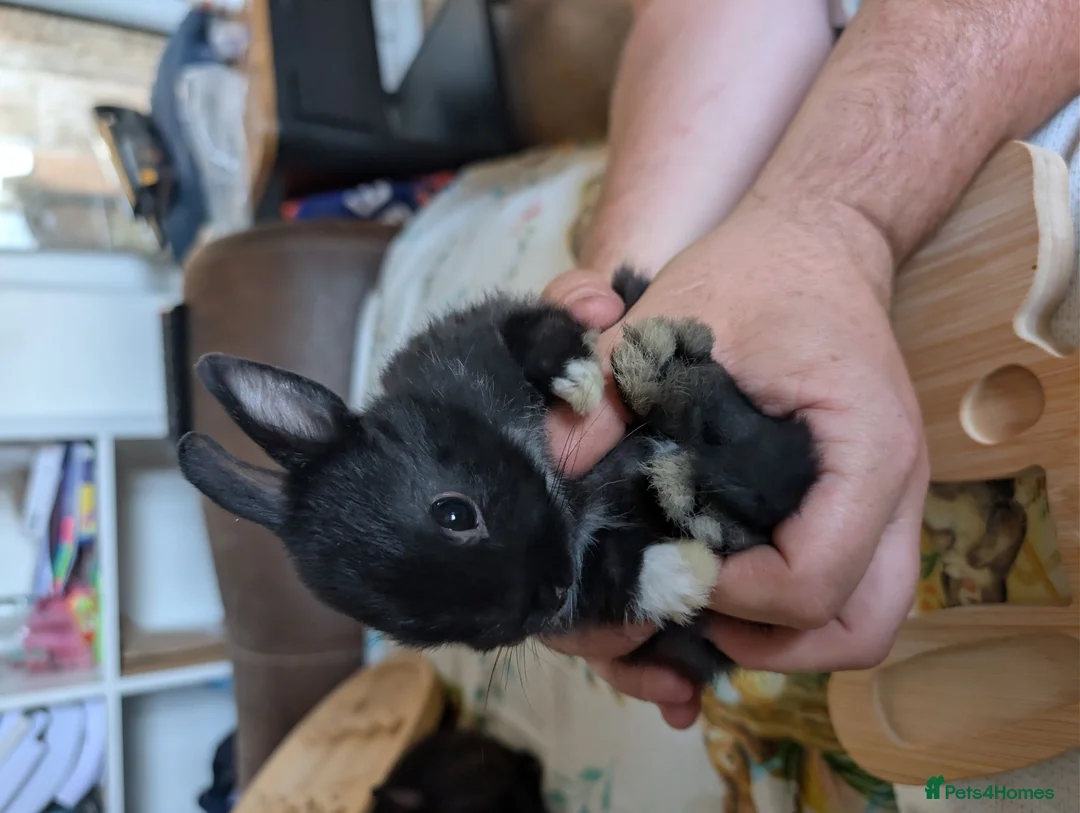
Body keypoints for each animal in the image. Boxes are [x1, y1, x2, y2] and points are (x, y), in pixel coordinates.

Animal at [176, 268, 819, 685]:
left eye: (454, 512)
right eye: (421, 625)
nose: (551, 593)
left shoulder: (481, 332)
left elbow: (533, 328)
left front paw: (578, 379)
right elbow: (609, 578)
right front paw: (681, 576)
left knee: (785, 461)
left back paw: (668, 382)